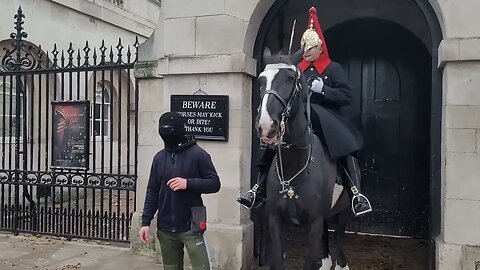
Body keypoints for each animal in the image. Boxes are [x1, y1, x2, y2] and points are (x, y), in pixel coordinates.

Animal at [256, 49, 354, 270]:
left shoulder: (314, 224)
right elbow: (277, 261)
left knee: (340, 238)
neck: (295, 165)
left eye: (290, 78)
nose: (266, 126)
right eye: (261, 80)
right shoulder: (275, 220)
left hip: (343, 214)